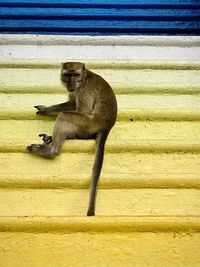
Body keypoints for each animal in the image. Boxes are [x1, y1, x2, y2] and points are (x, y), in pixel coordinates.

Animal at [26, 61, 117, 217]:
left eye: (75, 75)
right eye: (68, 75)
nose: (71, 83)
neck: (84, 77)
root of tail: (107, 125)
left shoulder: (83, 90)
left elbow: (82, 110)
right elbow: (73, 104)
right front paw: (46, 109)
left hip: (88, 125)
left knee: (64, 116)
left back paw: (52, 151)